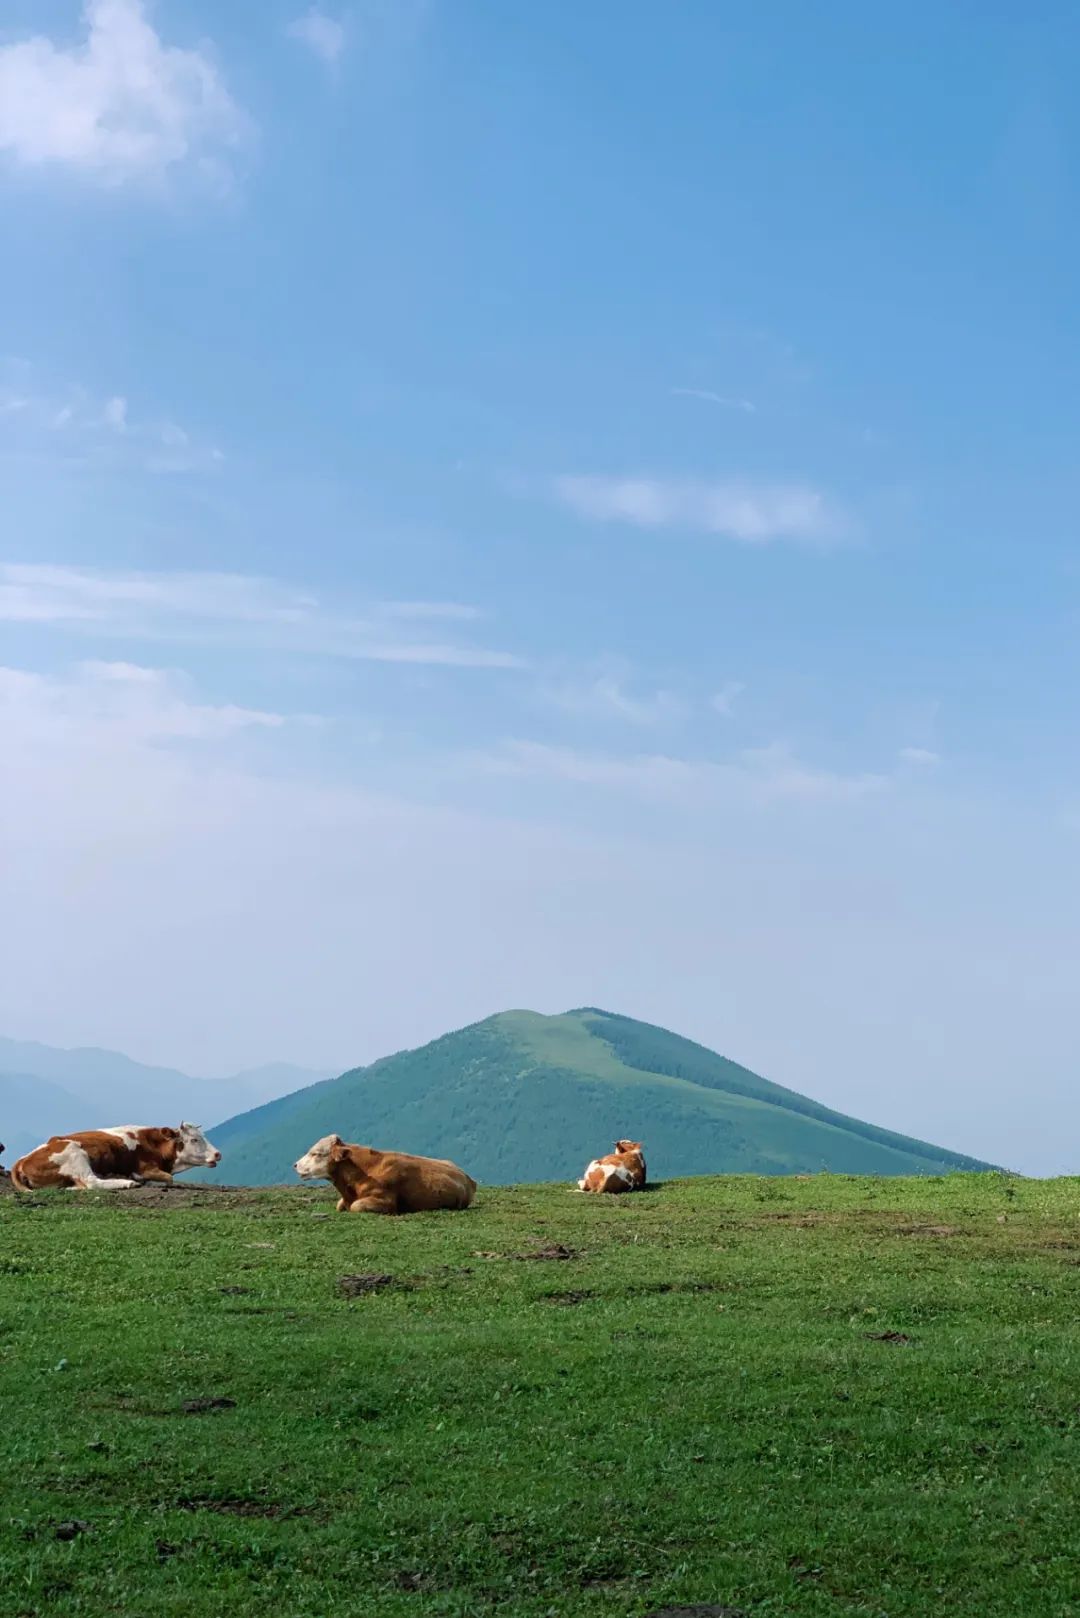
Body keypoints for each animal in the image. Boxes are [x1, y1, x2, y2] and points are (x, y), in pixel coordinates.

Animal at [11, 1126, 223, 1190]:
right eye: (194, 1139)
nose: (218, 1153)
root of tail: (23, 1159)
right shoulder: (145, 1167)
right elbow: (168, 1178)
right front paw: (143, 1180)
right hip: (75, 1154)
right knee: (91, 1182)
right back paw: (127, 1182)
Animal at [296, 1139, 482, 1216]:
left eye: (316, 1153)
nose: (295, 1165)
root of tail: (468, 1178)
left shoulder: (385, 1200)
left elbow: (357, 1206)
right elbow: (339, 1205)